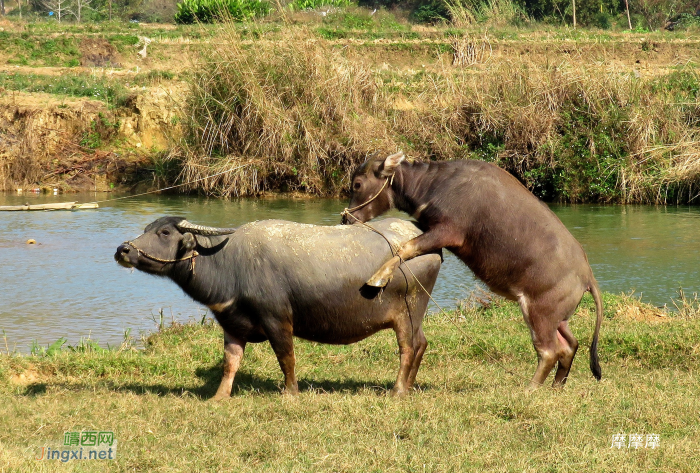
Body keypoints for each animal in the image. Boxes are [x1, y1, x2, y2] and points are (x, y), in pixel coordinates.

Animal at [116, 216, 442, 396]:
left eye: (165, 233)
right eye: (148, 228)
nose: (123, 249)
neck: (229, 262)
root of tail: (421, 239)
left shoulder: (277, 319)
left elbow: (287, 358)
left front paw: (290, 392)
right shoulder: (231, 323)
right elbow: (230, 363)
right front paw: (220, 396)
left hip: (408, 311)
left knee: (408, 348)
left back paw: (397, 390)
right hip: (416, 314)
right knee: (422, 343)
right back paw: (408, 387)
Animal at [342, 153, 604, 390]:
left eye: (357, 184)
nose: (346, 219)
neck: (433, 185)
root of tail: (587, 275)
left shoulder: (448, 232)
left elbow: (406, 247)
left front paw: (377, 278)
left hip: (539, 312)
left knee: (550, 351)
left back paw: (529, 388)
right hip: (558, 317)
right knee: (570, 344)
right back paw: (556, 385)